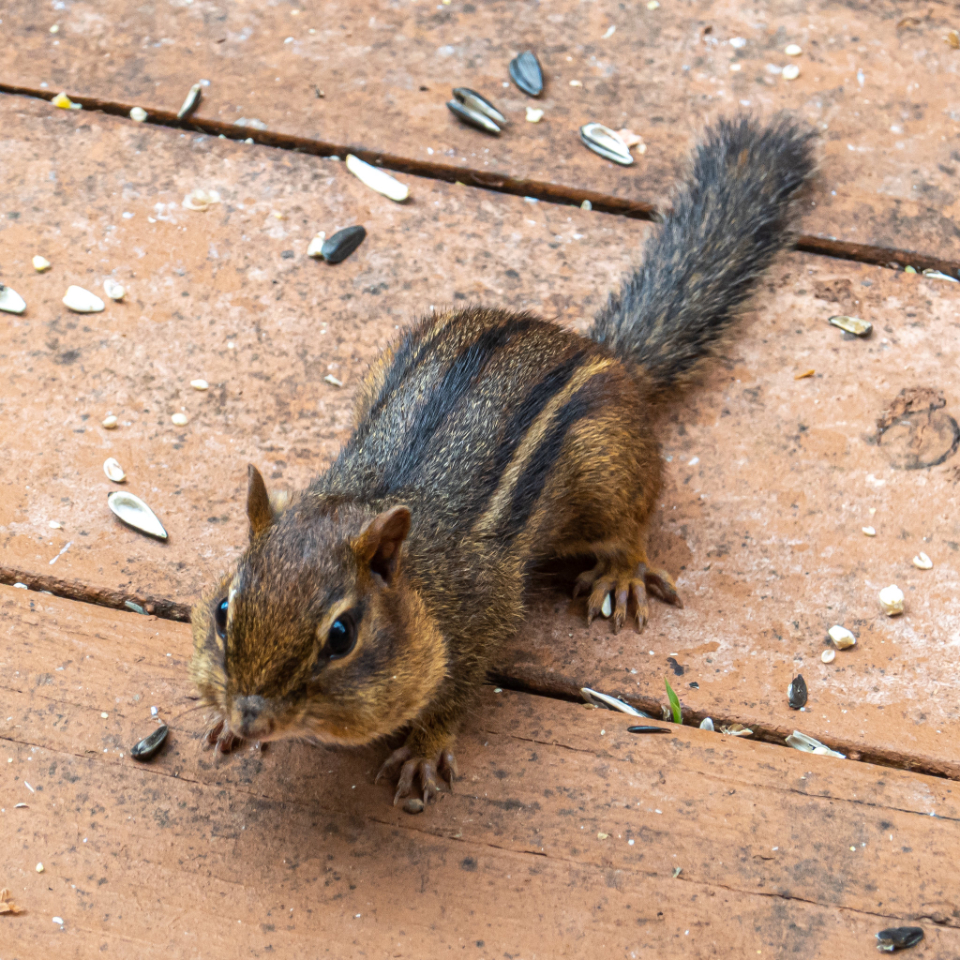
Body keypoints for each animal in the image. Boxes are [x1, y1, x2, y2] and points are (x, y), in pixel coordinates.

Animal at [190, 115, 816, 805]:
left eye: (341, 636)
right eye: (223, 610)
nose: (250, 719)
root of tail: (601, 350)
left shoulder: (479, 620)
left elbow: (454, 693)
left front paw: (424, 750)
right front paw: (219, 726)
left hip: (609, 469)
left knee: (631, 524)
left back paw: (621, 573)